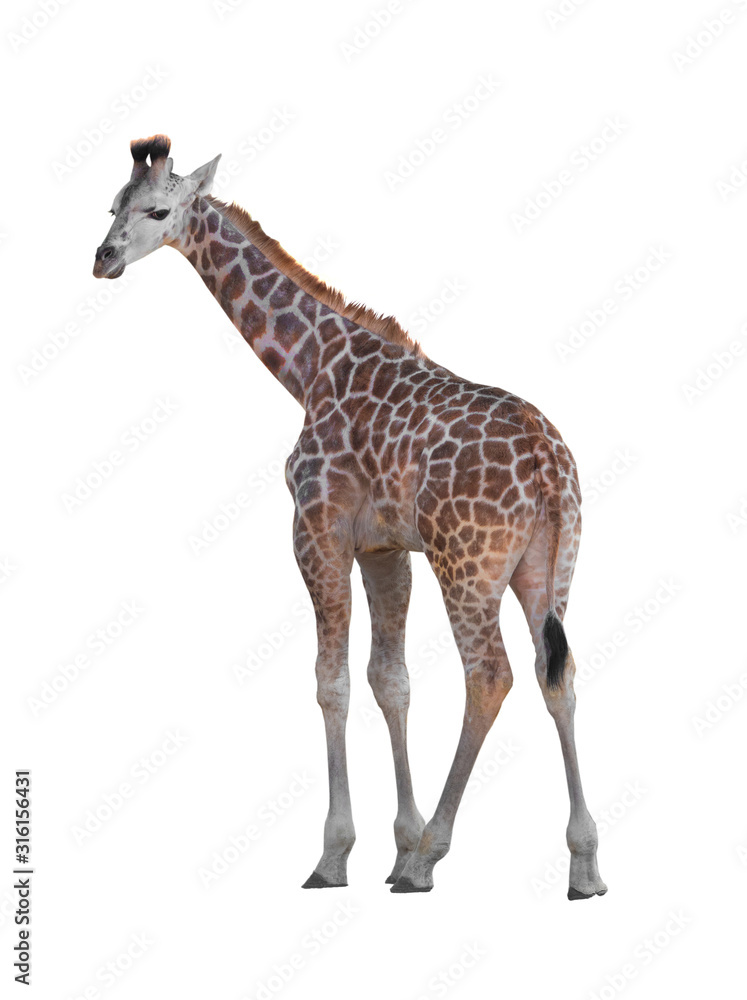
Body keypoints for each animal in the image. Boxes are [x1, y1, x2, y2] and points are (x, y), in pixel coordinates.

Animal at [93, 135, 607, 900]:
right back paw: (583, 865)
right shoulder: (385, 548)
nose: (103, 259)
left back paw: (431, 859)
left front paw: (338, 856)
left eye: (159, 210)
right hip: (549, 566)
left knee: (491, 676)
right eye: (112, 206)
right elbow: (389, 681)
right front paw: (394, 843)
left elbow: (329, 681)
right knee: (558, 674)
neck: (309, 368)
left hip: (468, 565)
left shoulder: (318, 529)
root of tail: (549, 464)